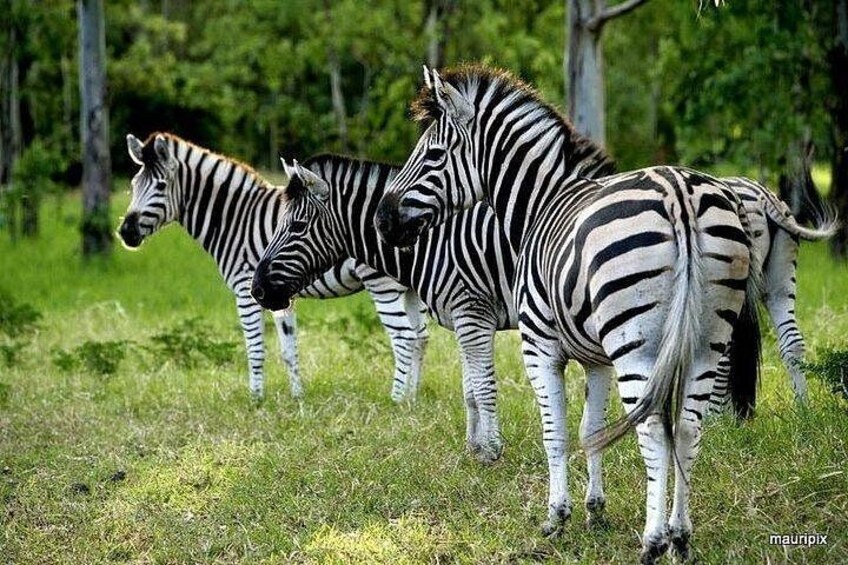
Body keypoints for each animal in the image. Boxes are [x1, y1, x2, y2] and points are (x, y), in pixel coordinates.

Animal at [117, 132, 428, 401]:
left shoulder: (245, 290)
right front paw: (297, 397)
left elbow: (255, 349)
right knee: (421, 338)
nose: (125, 232)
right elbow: (289, 350)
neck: (235, 218)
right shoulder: (278, 294)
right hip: (412, 287)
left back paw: (397, 400)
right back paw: (412, 399)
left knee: (404, 337)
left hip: (382, 284)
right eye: (133, 184)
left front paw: (256, 400)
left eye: (160, 186)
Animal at [375, 65, 763, 563]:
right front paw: (595, 511)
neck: (540, 203)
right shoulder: (597, 358)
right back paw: (680, 536)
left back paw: (653, 539)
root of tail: (678, 192)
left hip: (635, 347)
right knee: (688, 430)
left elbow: (555, 431)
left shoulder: (539, 346)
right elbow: (589, 428)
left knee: (653, 430)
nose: (382, 220)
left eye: (434, 154)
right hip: (707, 341)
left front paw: (557, 517)